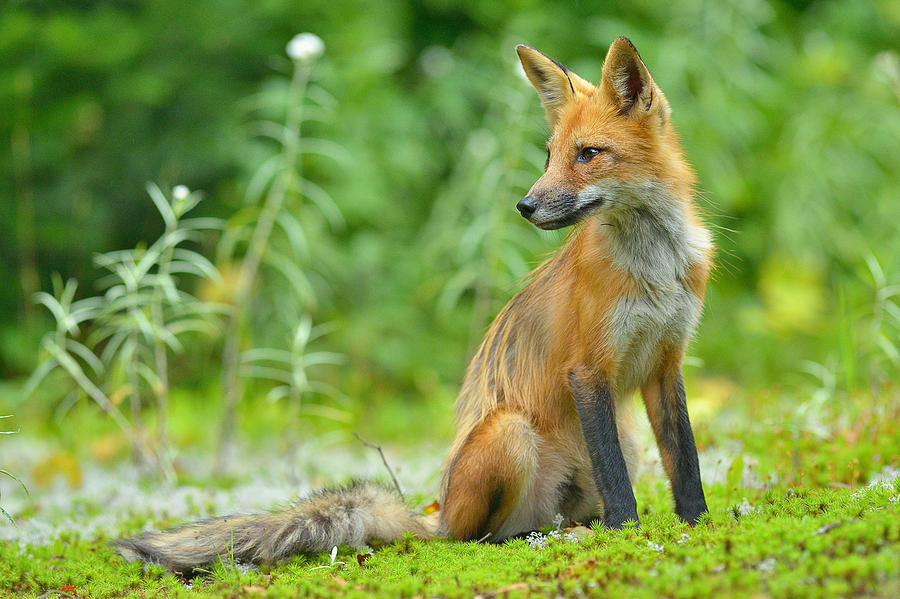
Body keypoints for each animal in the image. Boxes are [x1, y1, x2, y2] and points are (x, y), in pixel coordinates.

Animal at [118, 37, 712, 576]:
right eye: (549, 156)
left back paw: (573, 529)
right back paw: (533, 539)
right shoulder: (588, 370)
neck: (654, 269)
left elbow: (685, 460)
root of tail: (437, 511)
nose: (524, 205)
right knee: (476, 538)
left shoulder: (666, 362)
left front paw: (699, 527)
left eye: (588, 154)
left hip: (623, 440)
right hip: (509, 434)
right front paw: (628, 535)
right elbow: (619, 482)